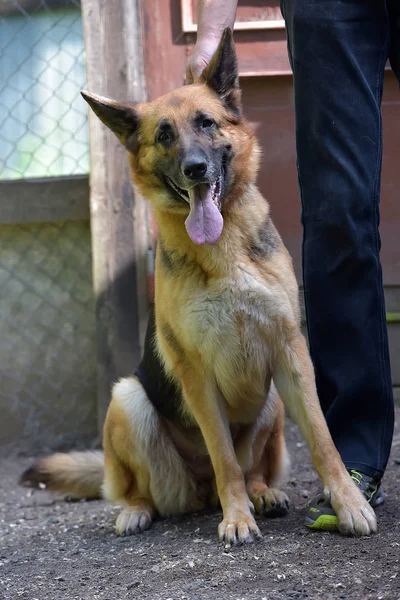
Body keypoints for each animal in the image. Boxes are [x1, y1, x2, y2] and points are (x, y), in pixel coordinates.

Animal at [21, 29, 378, 548]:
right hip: (128, 400)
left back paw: (263, 494)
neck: (223, 249)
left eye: (206, 123)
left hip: (273, 400)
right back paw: (142, 510)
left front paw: (348, 502)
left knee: (255, 469)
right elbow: (223, 454)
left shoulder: (291, 353)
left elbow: (323, 439)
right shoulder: (196, 375)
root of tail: (199, 492)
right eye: (164, 136)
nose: (195, 169)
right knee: (144, 487)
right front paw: (237, 518)